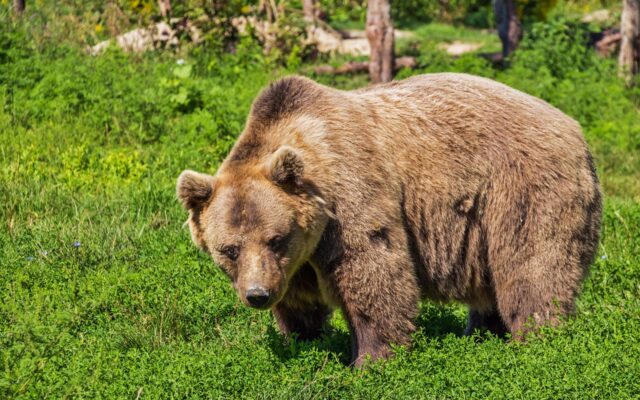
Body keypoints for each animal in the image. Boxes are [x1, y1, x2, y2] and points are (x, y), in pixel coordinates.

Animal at [177, 73, 602, 366]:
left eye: (275, 238)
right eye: (229, 249)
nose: (257, 295)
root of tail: (575, 128)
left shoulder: (350, 199)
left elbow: (374, 272)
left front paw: (370, 359)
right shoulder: (296, 260)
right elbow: (299, 300)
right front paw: (303, 339)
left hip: (522, 189)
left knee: (532, 267)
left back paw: (535, 339)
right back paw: (481, 333)